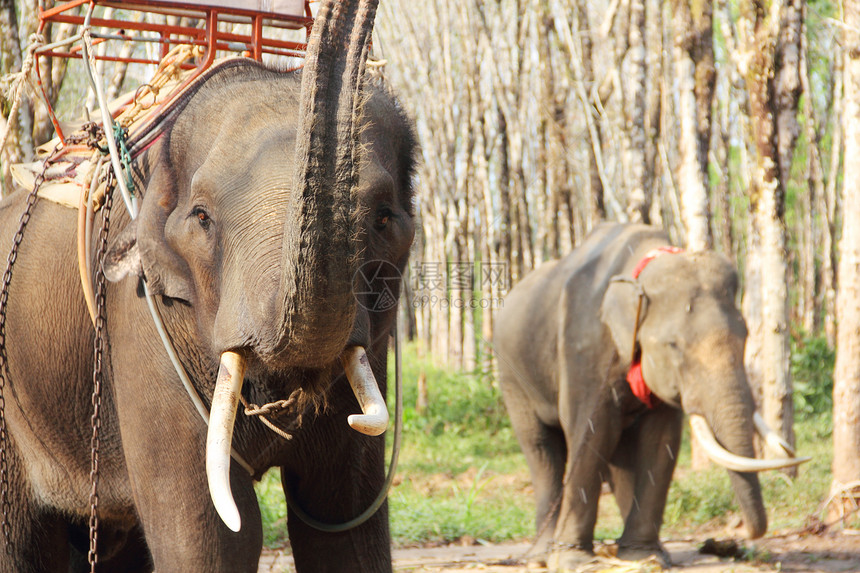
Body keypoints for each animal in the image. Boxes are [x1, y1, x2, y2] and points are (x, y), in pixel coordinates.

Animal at [494, 222, 808, 568]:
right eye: (674, 345)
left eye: (746, 336)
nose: (737, 530)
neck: (643, 266)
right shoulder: (582, 346)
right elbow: (592, 432)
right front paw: (574, 561)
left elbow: (661, 440)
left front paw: (646, 555)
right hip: (512, 376)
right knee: (541, 449)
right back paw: (541, 556)